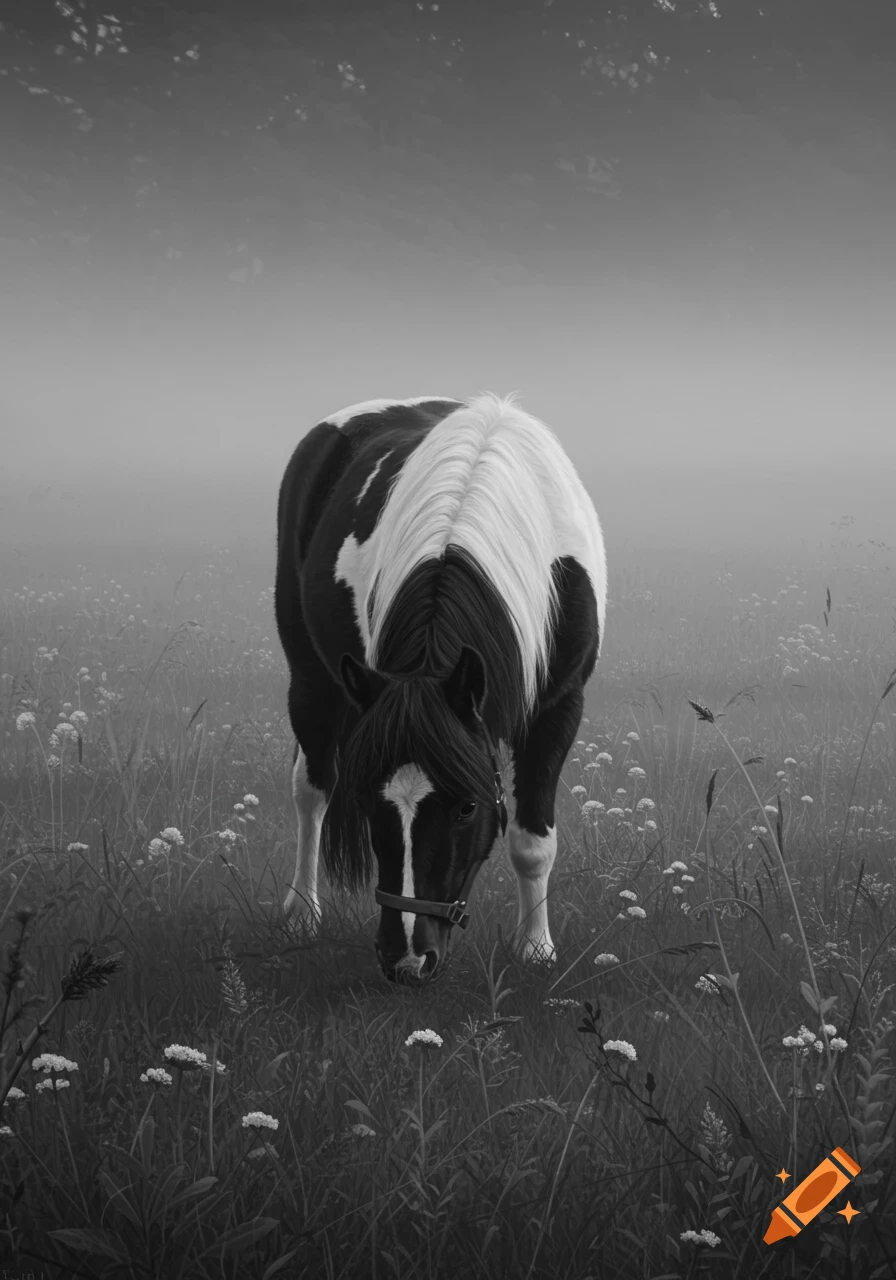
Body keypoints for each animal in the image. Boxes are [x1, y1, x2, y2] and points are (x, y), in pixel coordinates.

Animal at [274, 393, 606, 984]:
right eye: (368, 798)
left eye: (467, 808)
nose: (407, 958)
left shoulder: (559, 706)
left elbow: (533, 841)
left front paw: (535, 950)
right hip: (312, 677)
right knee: (310, 790)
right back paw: (301, 913)